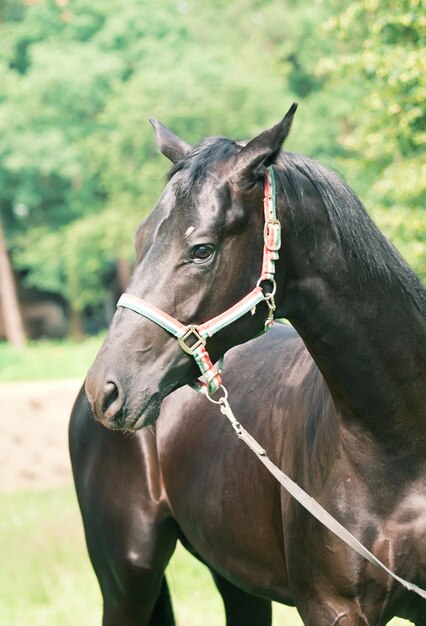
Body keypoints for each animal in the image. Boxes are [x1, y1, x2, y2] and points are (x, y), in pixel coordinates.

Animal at [74, 106, 426, 620]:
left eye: (201, 249)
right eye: (140, 239)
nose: (107, 388)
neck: (399, 449)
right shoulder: (331, 607)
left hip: (234, 578)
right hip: (127, 582)